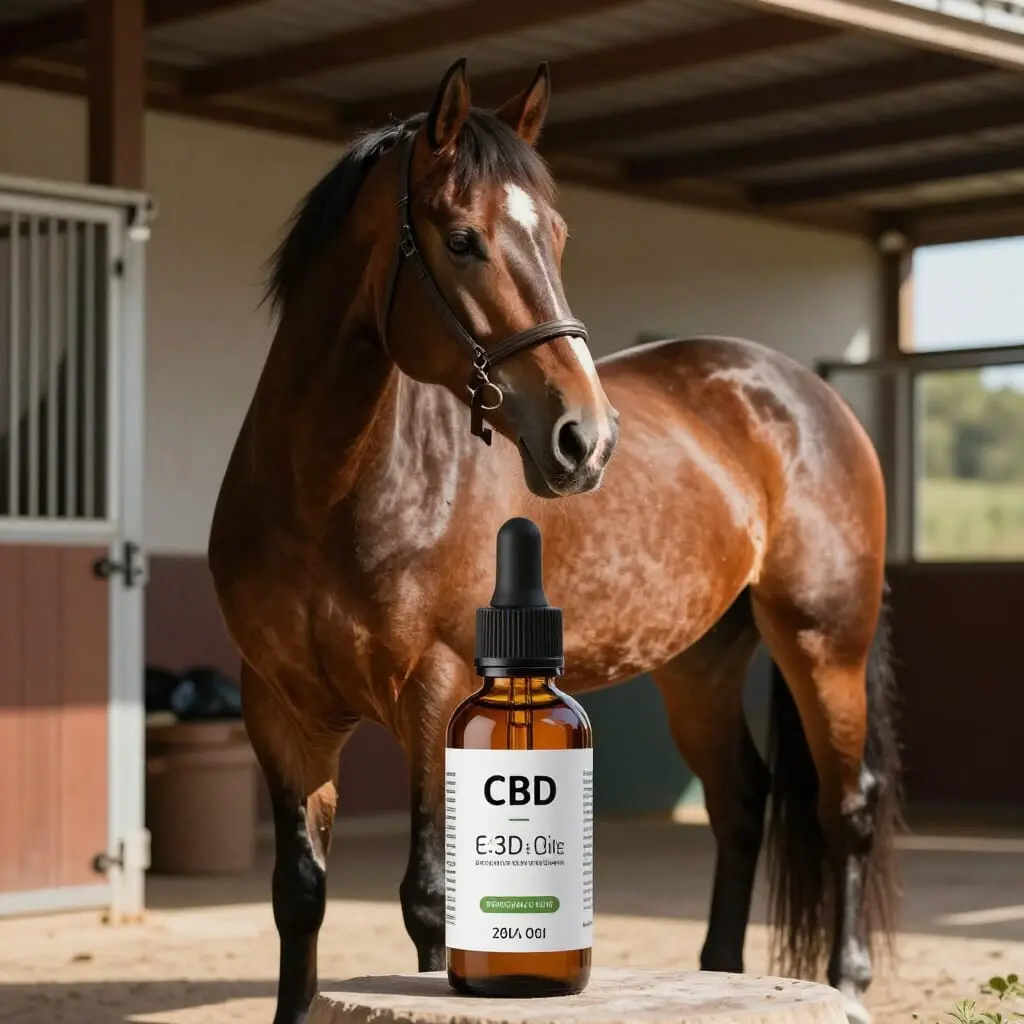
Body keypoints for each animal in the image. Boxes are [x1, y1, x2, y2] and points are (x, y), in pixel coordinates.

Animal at [208, 58, 901, 1024]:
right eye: (462, 239)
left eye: (561, 237)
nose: (586, 439)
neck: (326, 493)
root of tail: (809, 393)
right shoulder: (280, 710)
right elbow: (299, 896)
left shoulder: (435, 694)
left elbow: (430, 898)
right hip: (699, 665)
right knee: (740, 803)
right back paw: (722, 971)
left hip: (823, 643)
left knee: (847, 810)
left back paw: (847, 981)